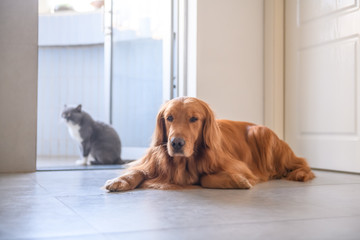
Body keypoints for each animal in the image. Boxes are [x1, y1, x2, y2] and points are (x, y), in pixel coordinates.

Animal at [102, 95, 314, 191]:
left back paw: (299, 173)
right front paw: (120, 180)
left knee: (302, 162)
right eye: (169, 118)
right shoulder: (152, 162)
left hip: (261, 132)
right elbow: (137, 171)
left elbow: (205, 177)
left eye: (194, 119)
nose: (176, 143)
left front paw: (237, 180)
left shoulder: (238, 166)